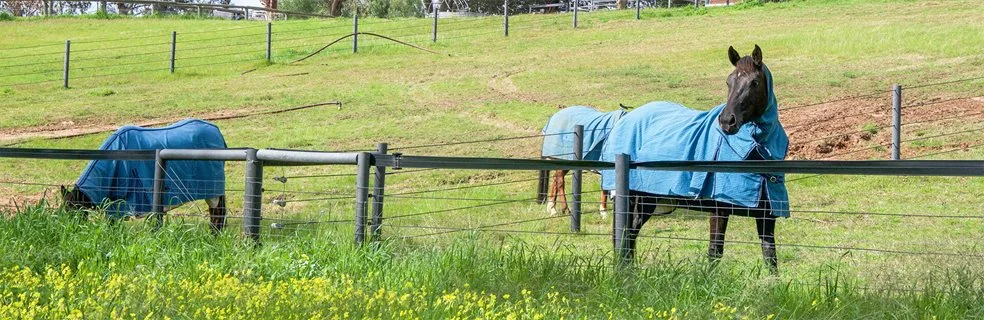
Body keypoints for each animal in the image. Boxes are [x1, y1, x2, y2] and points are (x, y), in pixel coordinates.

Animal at [61, 119, 229, 231]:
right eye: (64, 209)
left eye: (73, 209)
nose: (68, 229)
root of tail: (216, 131)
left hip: (212, 191)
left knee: (217, 212)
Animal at [596, 45, 788, 272]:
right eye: (729, 81)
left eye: (754, 82)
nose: (727, 121)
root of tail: (624, 120)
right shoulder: (719, 211)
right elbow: (715, 252)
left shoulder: (766, 216)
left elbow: (771, 257)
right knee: (625, 236)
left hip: (646, 200)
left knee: (630, 234)